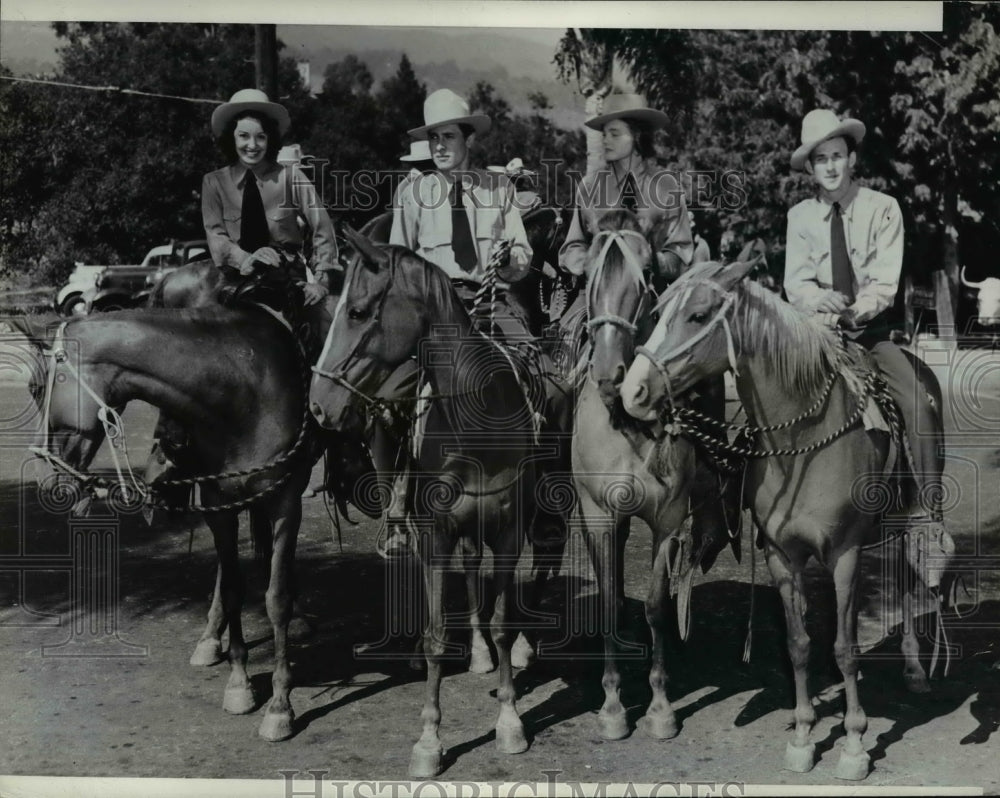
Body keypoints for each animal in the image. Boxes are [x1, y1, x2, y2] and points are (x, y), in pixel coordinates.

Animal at [13, 306, 318, 744]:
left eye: (37, 388)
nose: (45, 480)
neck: (243, 395)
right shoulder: (218, 507)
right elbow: (232, 591)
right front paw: (239, 684)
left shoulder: (285, 505)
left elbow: (276, 599)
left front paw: (280, 706)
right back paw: (209, 640)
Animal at [310, 228, 552, 780]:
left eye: (357, 311)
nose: (318, 405)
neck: (476, 420)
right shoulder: (438, 536)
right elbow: (437, 635)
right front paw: (429, 741)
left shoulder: (508, 532)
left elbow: (504, 623)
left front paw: (510, 722)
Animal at [576, 212, 740, 744]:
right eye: (587, 272)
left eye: (646, 272)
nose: (610, 371)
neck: (625, 424)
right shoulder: (600, 515)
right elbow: (609, 600)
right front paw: (611, 706)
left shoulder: (667, 521)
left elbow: (656, 606)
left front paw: (661, 706)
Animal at [620, 260, 956, 780]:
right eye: (656, 313)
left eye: (698, 315)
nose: (632, 391)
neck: (802, 446)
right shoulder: (783, 555)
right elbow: (799, 644)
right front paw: (802, 736)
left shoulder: (845, 554)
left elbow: (844, 647)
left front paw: (854, 745)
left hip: (911, 517)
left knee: (907, 573)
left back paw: (916, 668)